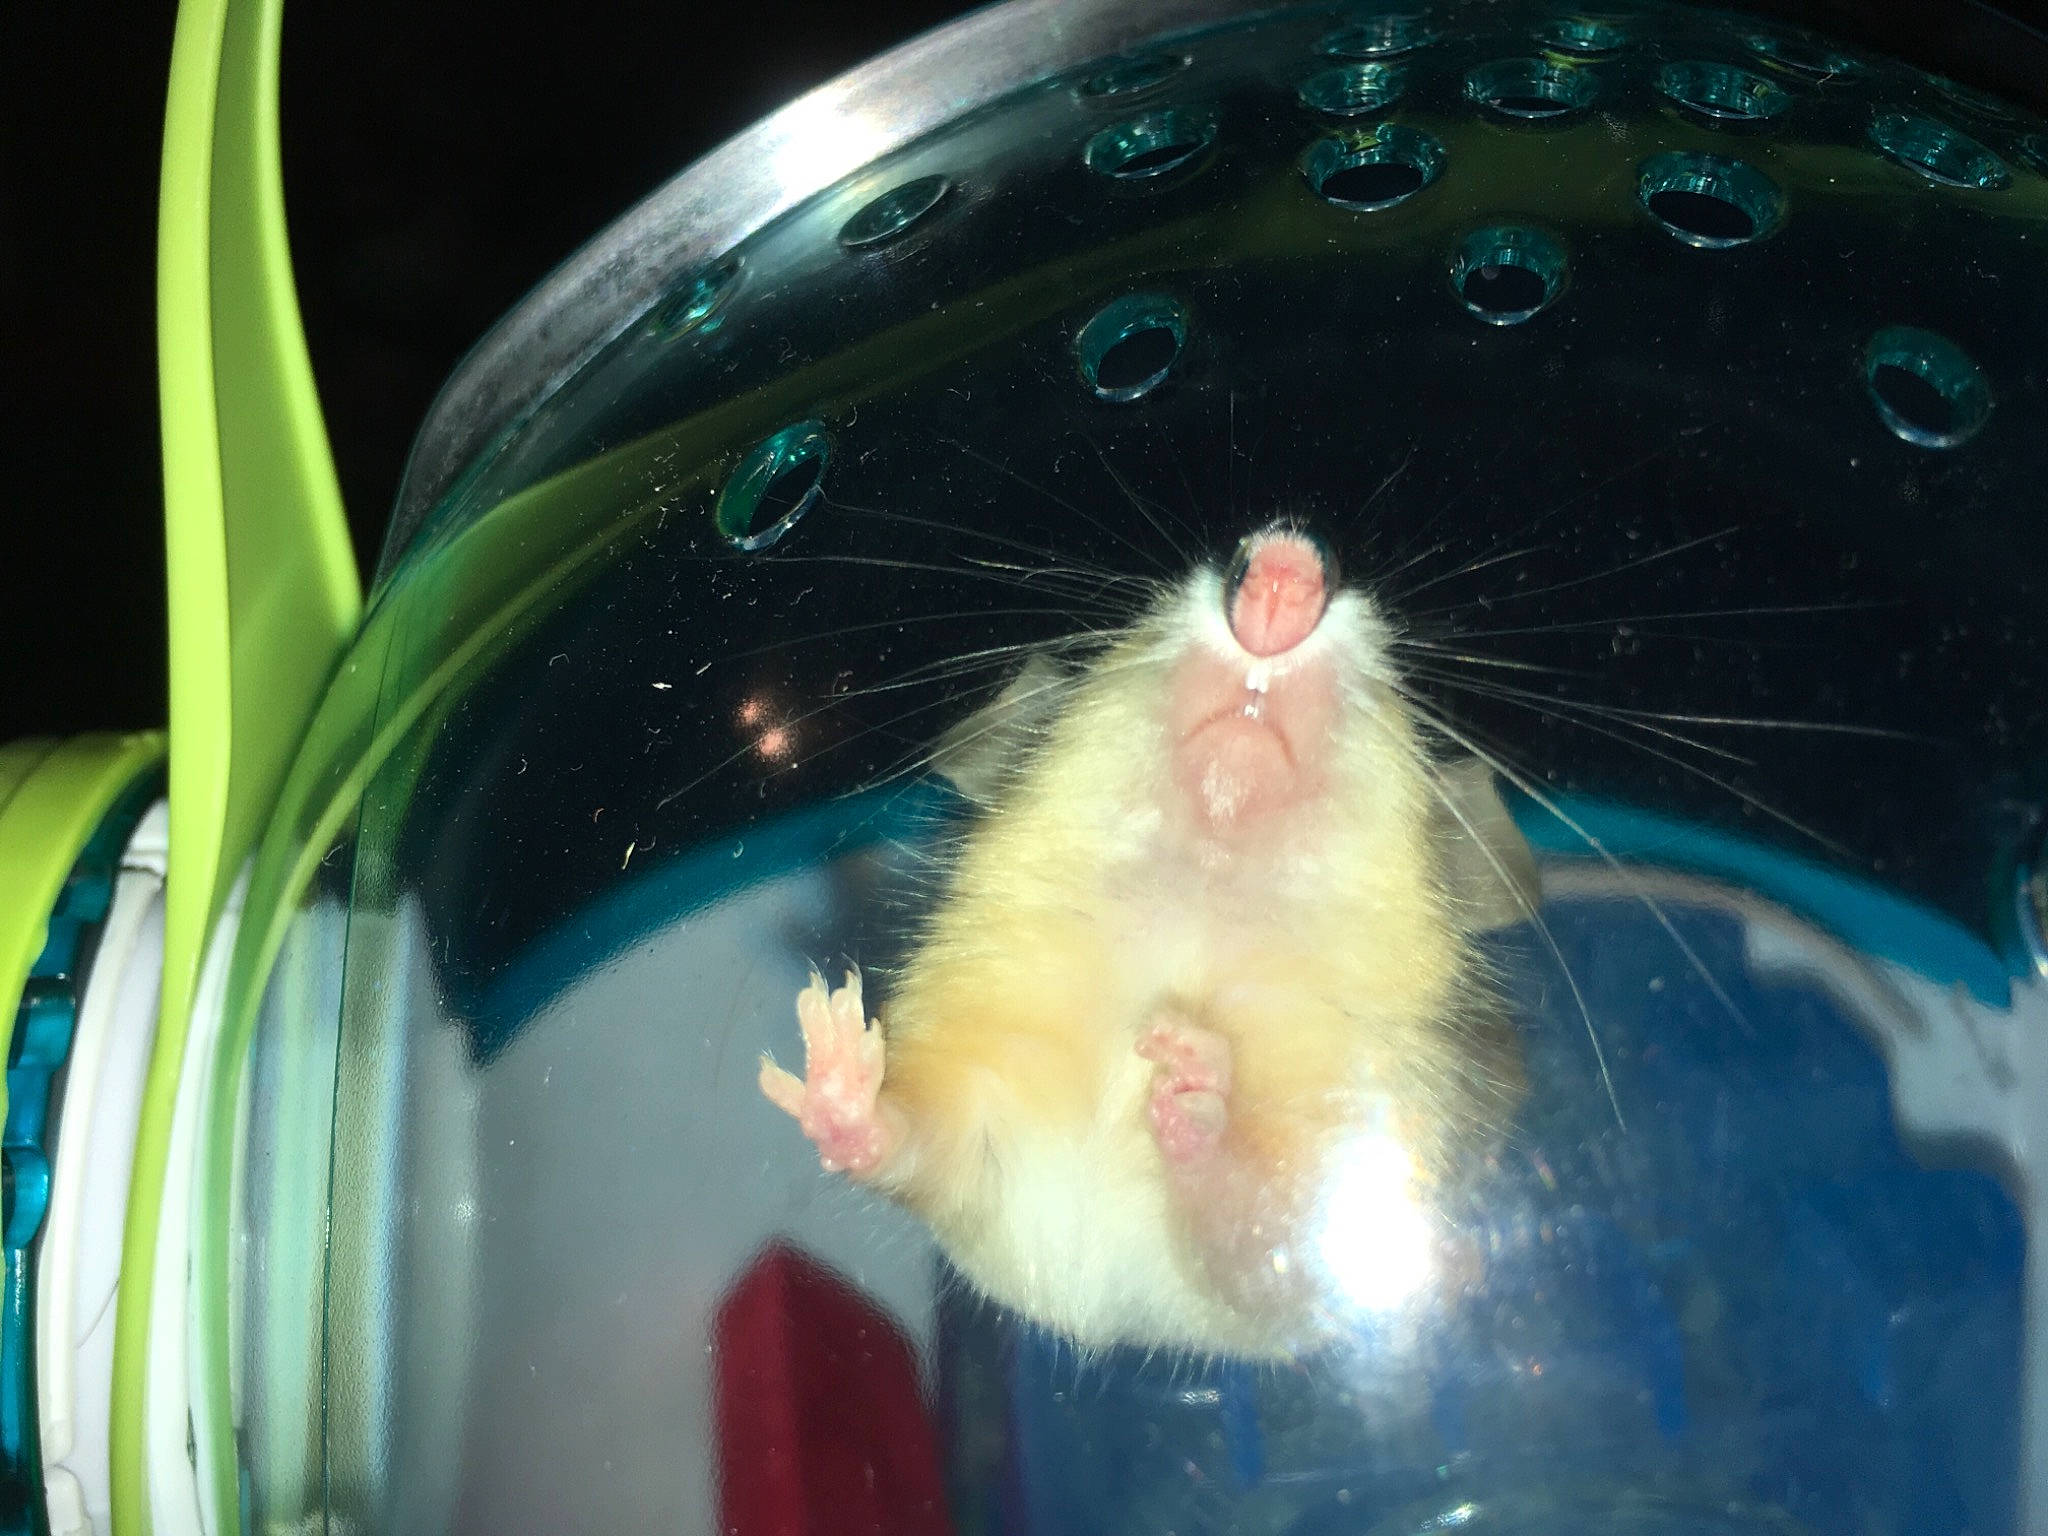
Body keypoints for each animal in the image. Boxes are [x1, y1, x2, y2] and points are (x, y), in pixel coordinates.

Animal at [759, 521, 1539, 1358]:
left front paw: (1187, 1067)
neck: (1198, 894)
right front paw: (833, 1041)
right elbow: (913, 1139)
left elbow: (1246, 1211)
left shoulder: (1333, 1216)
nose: (1286, 563)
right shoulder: (980, 1107)